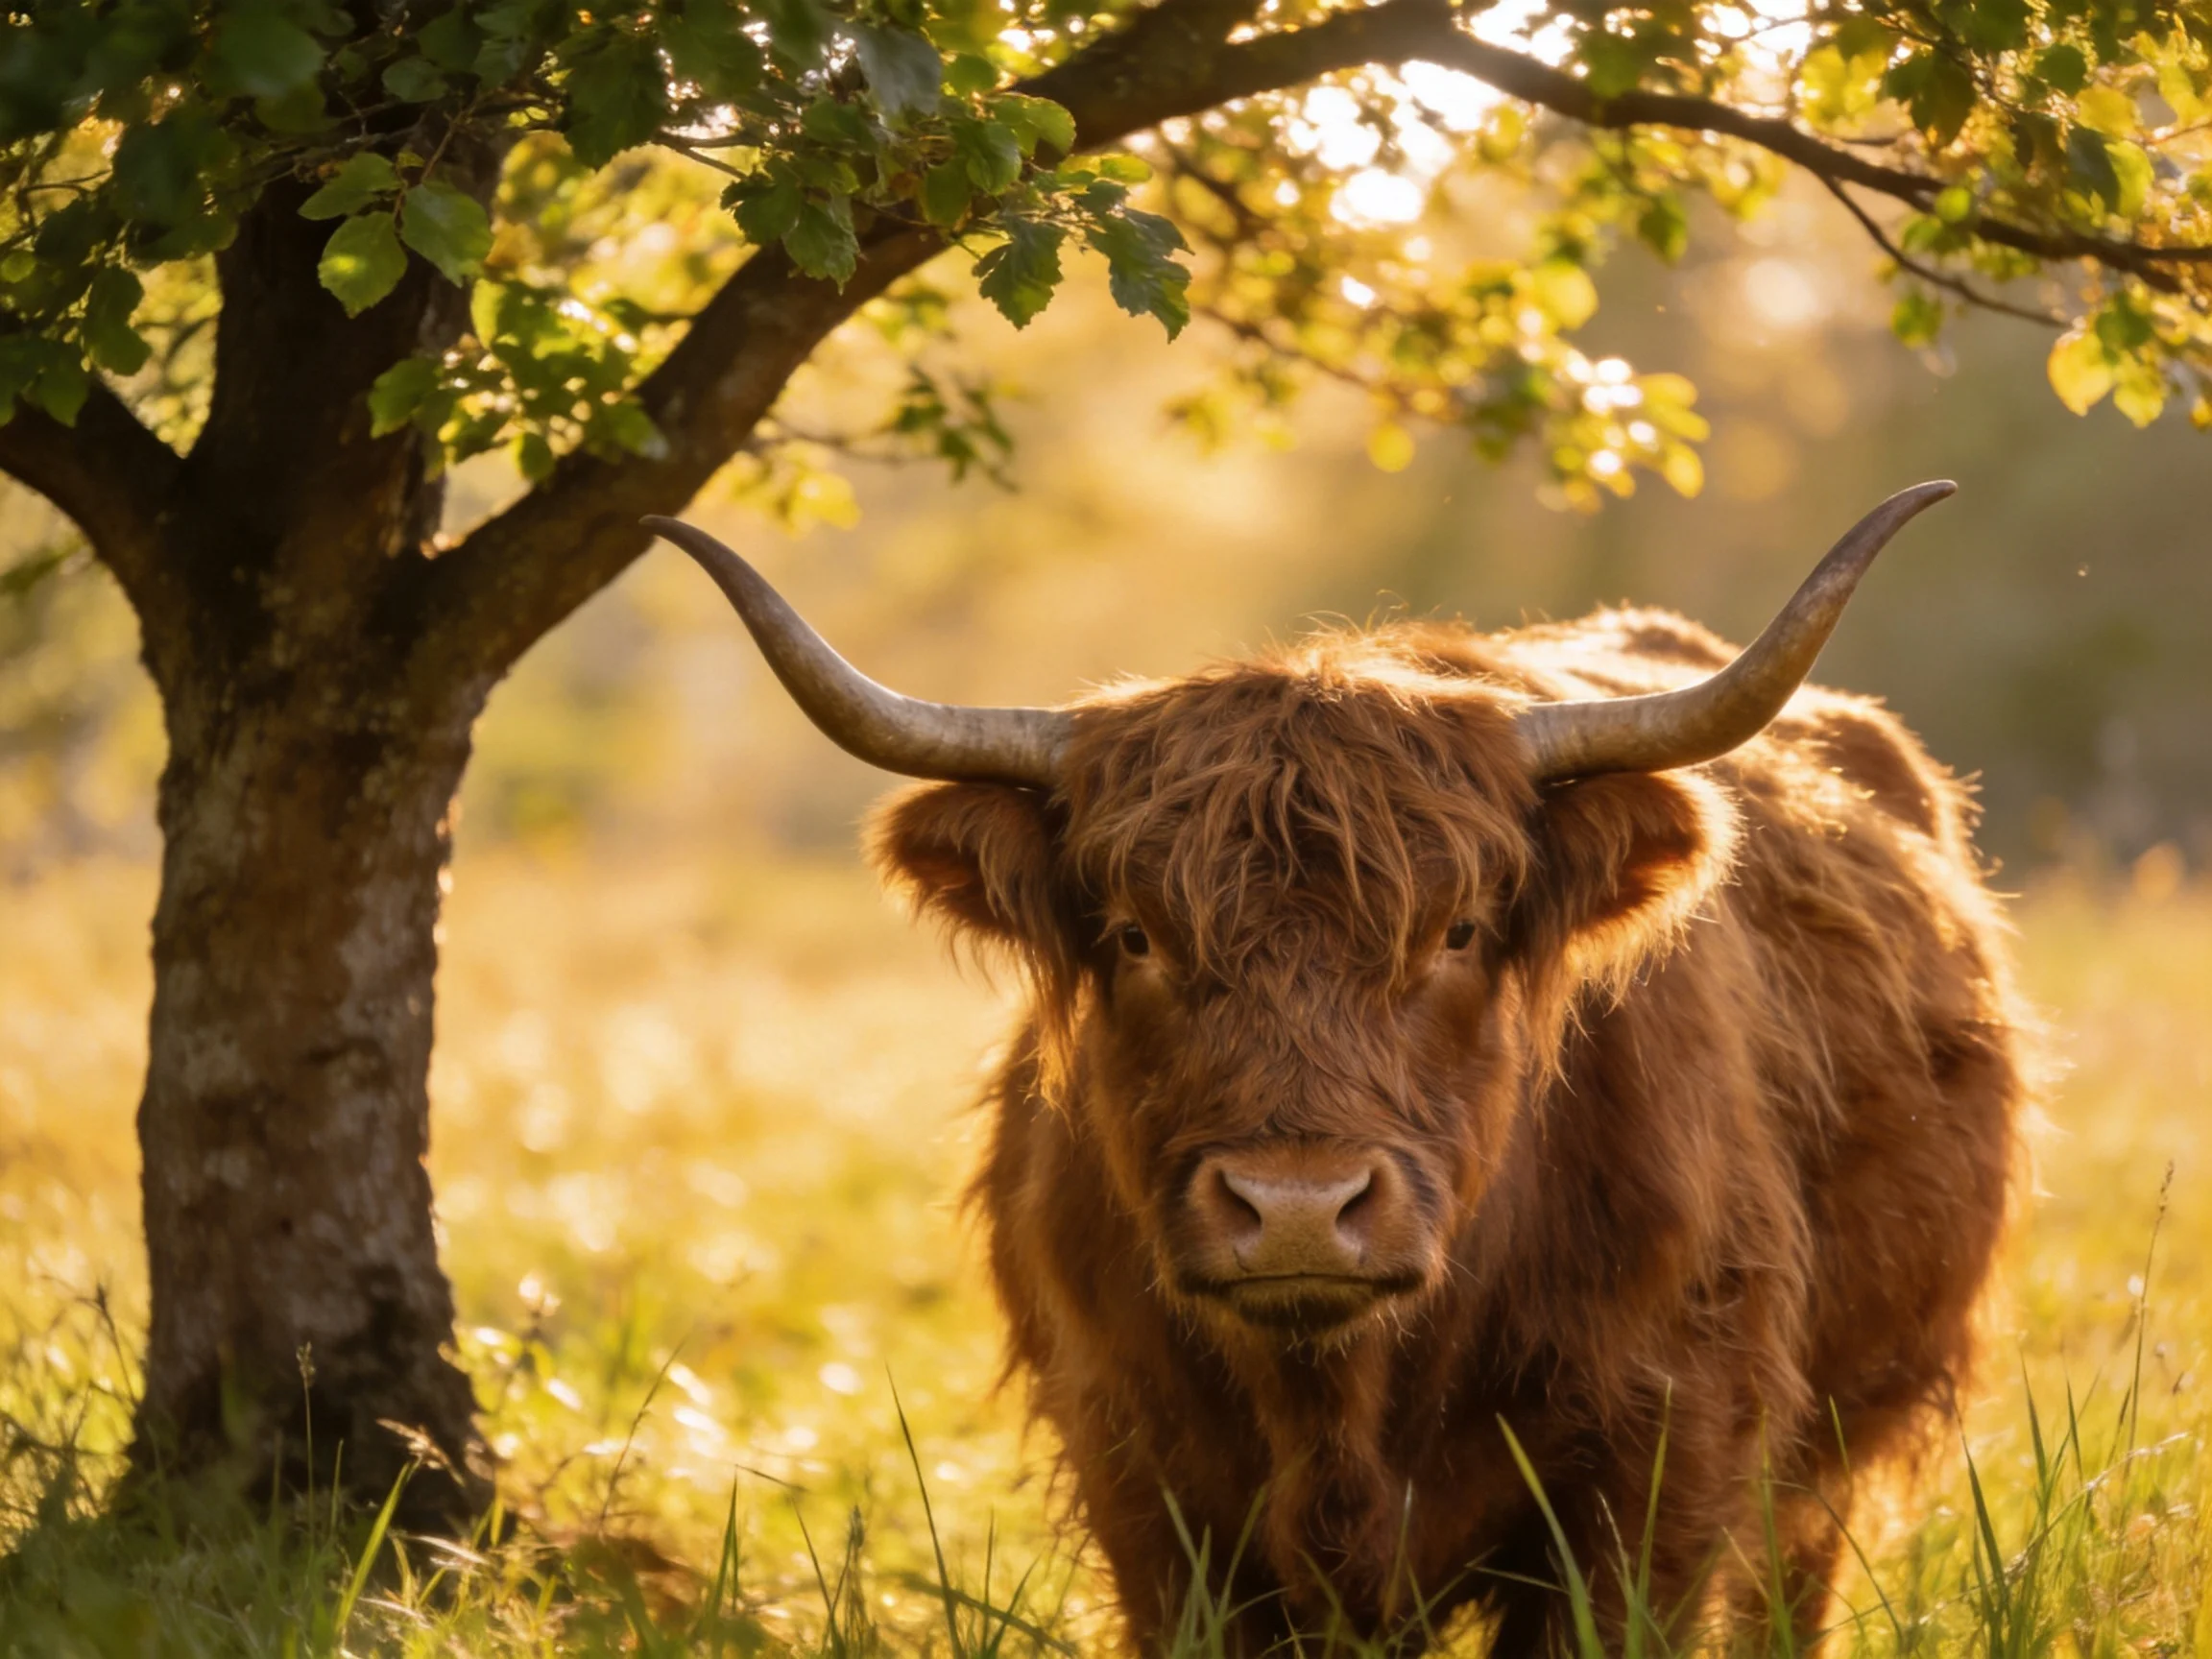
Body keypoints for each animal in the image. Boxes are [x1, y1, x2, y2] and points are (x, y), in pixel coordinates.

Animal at [650, 481, 2027, 1654]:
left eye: (1458, 931)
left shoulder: (1664, 1464)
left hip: (1828, 1457)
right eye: (1137, 935)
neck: (1342, 1402)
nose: (1299, 1208)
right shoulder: (1144, 1486)